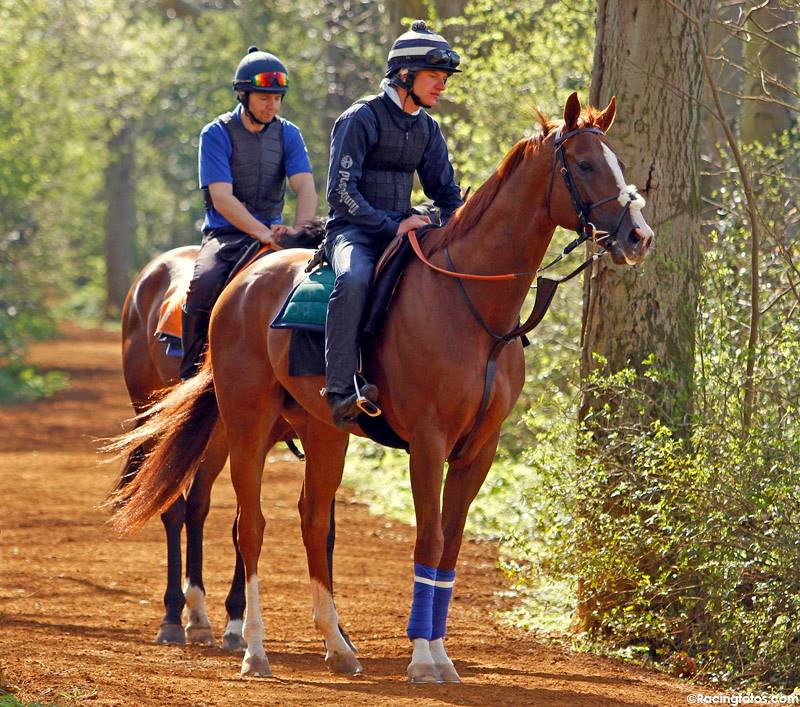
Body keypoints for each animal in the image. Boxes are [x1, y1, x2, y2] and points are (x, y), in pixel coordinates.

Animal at [115, 224, 322, 648]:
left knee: (197, 505)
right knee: (174, 509)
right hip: (156, 415)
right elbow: (244, 521)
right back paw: (174, 615)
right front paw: (235, 623)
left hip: (213, 439)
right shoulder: (245, 435)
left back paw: (197, 615)